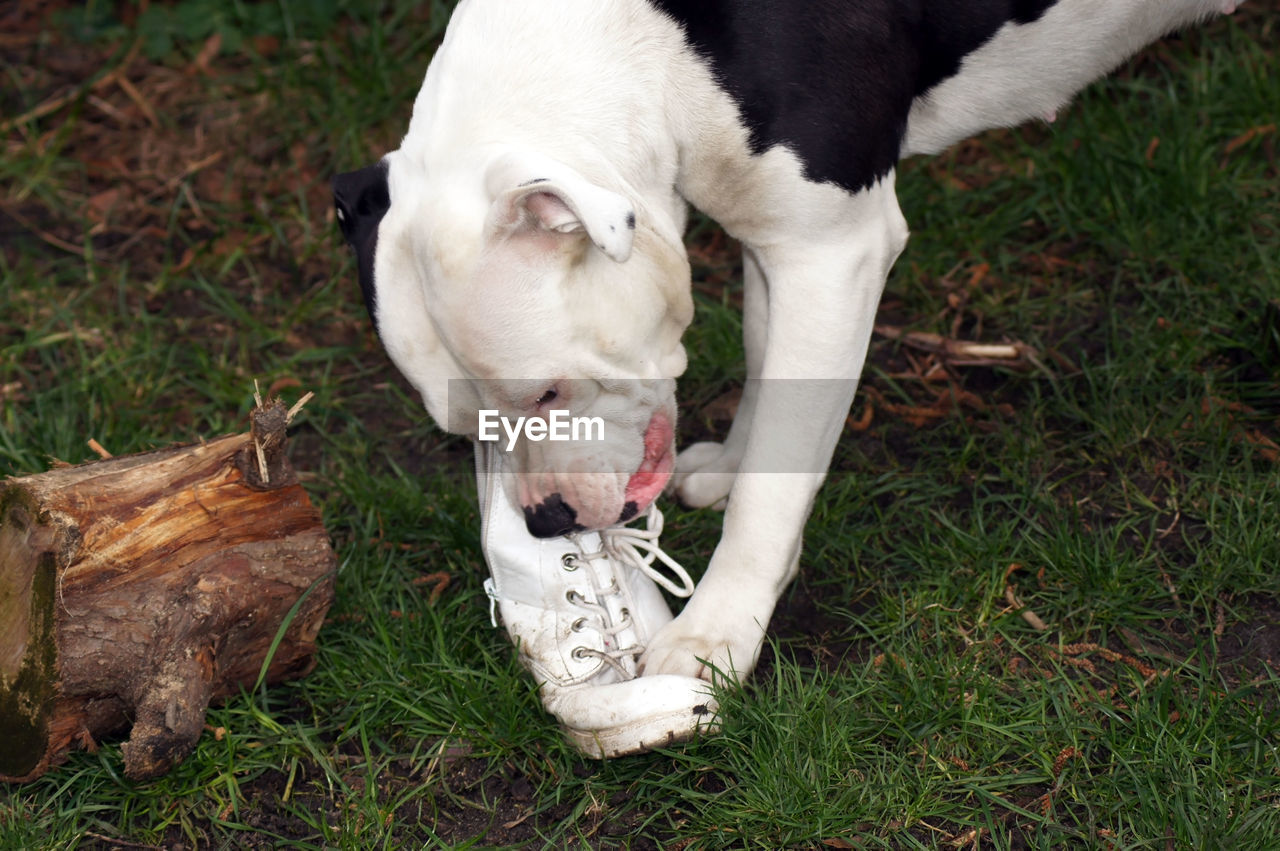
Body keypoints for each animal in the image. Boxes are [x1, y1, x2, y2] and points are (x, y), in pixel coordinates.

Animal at [335, 0, 1244, 685]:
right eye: (469, 430)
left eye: (547, 392)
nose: (547, 519)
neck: (647, 38)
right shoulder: (775, 237)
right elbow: (766, 367)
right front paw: (739, 465)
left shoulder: (831, 250)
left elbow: (773, 489)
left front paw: (716, 631)